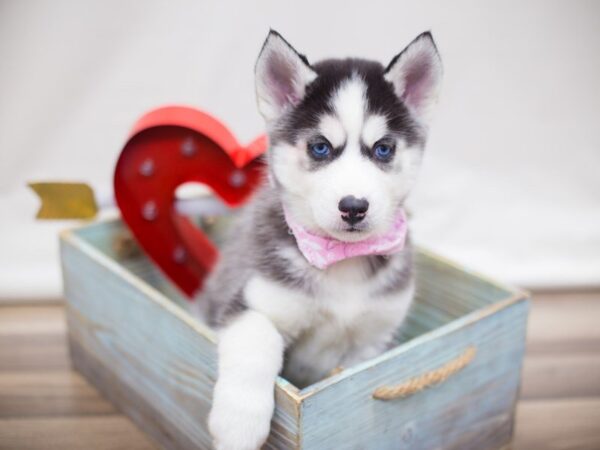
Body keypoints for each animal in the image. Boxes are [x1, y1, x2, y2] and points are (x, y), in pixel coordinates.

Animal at [197, 30, 440, 450]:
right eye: (320, 146)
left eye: (384, 148)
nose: (354, 207)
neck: (341, 259)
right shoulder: (252, 303)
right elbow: (256, 341)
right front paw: (238, 424)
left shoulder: (373, 340)